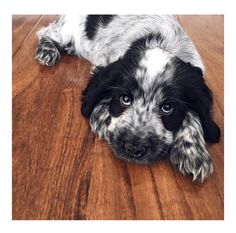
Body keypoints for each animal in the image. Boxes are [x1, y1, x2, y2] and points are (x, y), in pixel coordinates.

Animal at [35, 14, 221, 182]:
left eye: (167, 108)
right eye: (125, 99)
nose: (133, 148)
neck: (161, 42)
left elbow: (193, 114)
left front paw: (193, 151)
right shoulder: (107, 62)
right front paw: (102, 115)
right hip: (67, 28)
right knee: (47, 32)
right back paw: (47, 50)